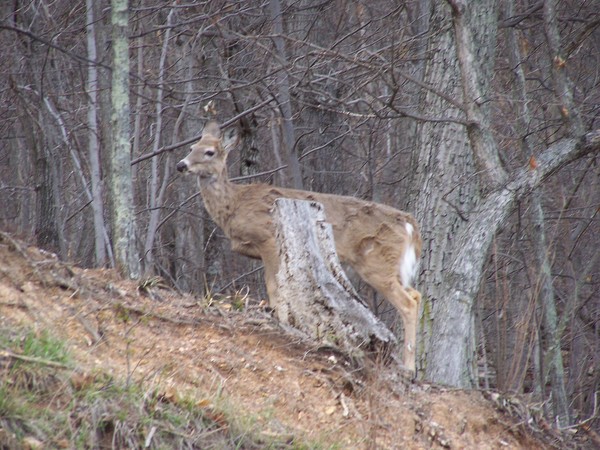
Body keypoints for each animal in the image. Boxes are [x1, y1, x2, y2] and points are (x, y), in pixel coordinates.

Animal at [178, 119, 422, 372]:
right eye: (191, 147)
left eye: (209, 152)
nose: (181, 165)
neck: (233, 206)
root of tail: (410, 225)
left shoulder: (268, 239)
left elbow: (273, 285)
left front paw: (281, 319)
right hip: (393, 267)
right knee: (416, 294)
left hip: (377, 263)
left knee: (407, 303)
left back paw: (409, 367)